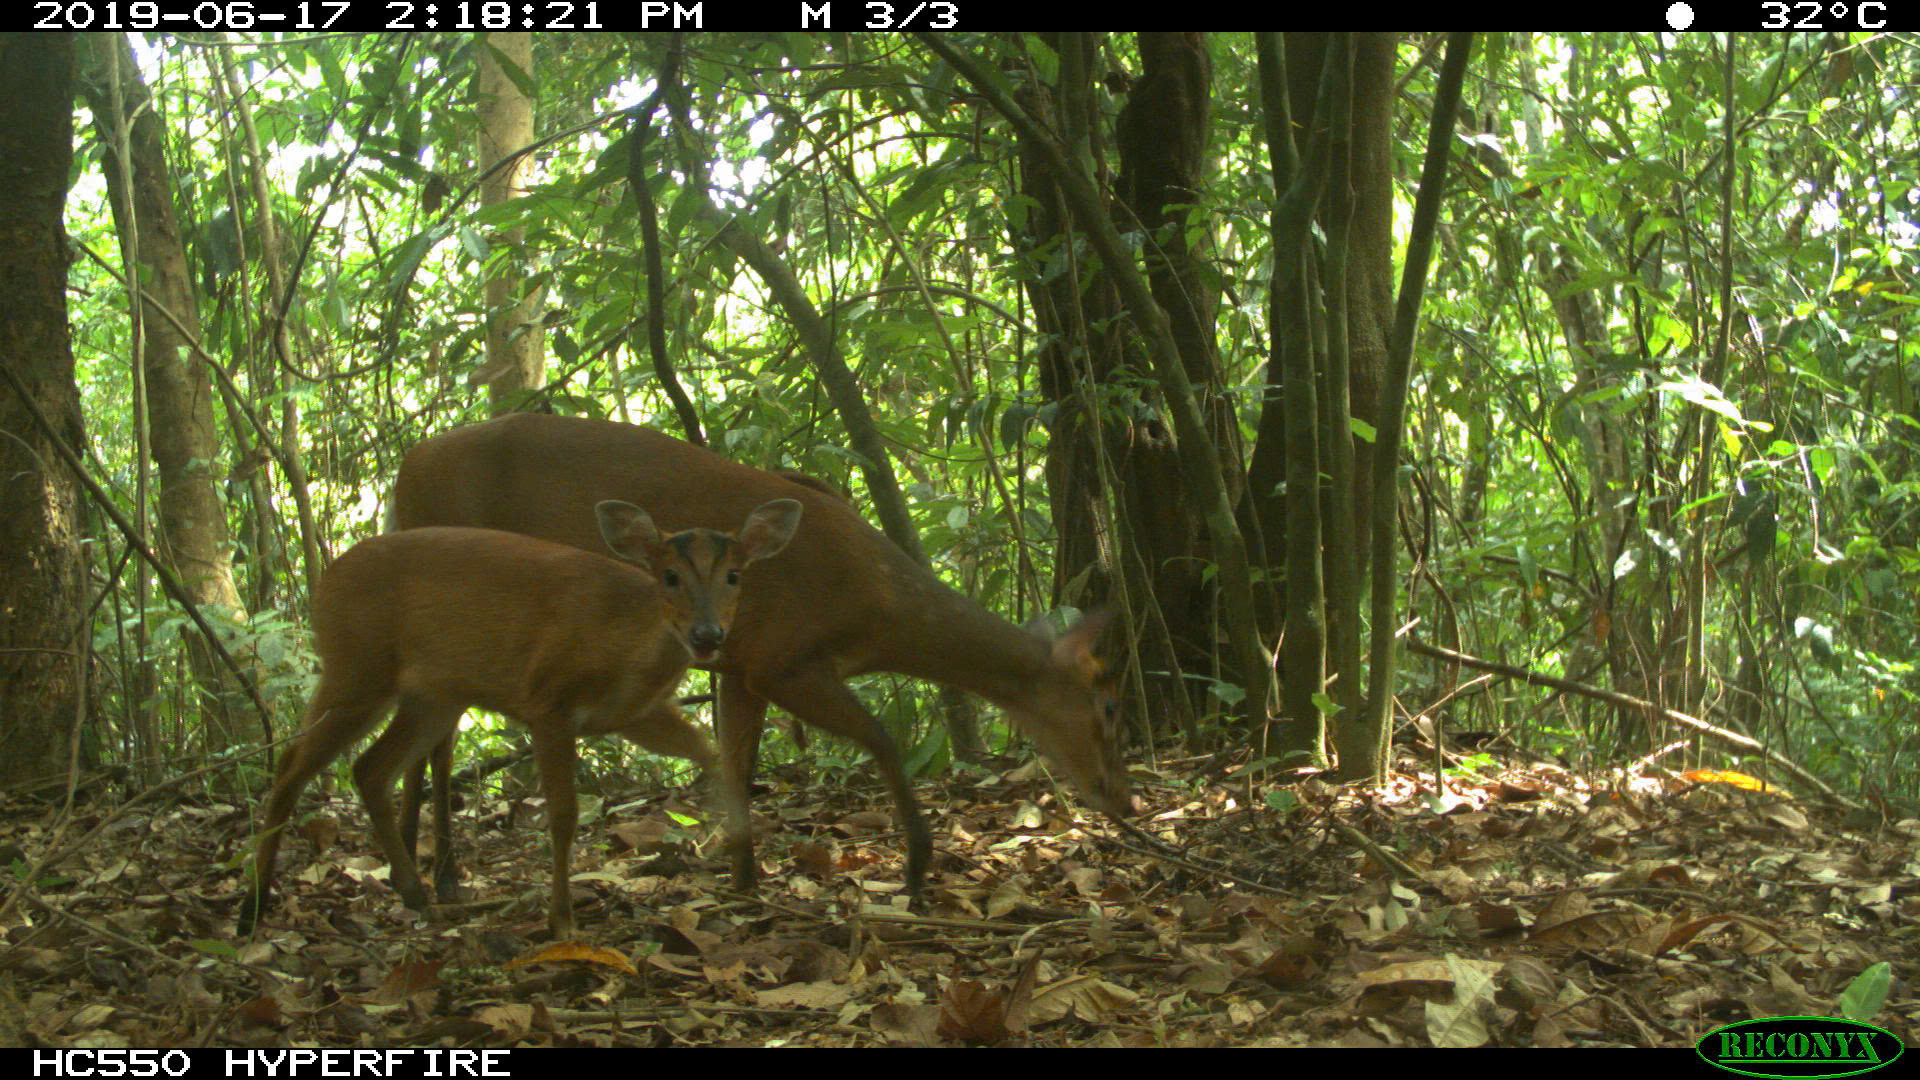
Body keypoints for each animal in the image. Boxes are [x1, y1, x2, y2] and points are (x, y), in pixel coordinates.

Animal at [241, 495, 802, 933]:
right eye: (669, 576)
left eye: (734, 575)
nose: (707, 635)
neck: (625, 644)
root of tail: (324, 581)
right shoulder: (549, 701)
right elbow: (564, 815)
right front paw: (562, 919)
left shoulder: (635, 714)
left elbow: (712, 755)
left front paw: (737, 852)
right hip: (356, 664)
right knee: (291, 764)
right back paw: (254, 905)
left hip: (433, 695)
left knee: (369, 767)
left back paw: (415, 893)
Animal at [395, 407, 1128, 895]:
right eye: (1108, 708)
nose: (1122, 797)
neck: (878, 607)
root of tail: (406, 471)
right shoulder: (785, 658)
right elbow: (881, 737)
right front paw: (918, 863)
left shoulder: (741, 663)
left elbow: (738, 759)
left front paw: (745, 875)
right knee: (439, 738)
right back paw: (441, 874)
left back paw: (412, 861)